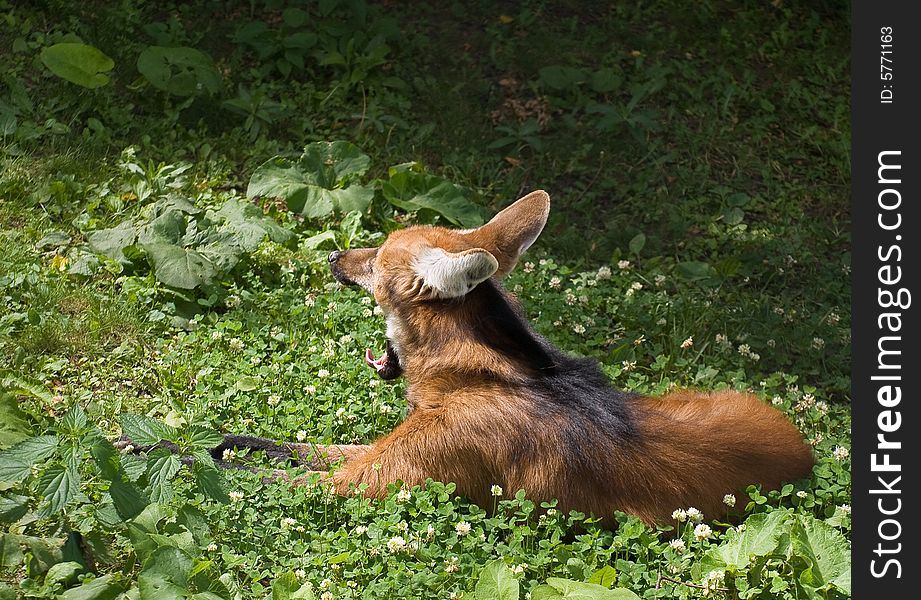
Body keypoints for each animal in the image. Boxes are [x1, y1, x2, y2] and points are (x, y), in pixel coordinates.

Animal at [216, 192, 812, 524]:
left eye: (377, 256)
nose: (336, 257)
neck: (472, 377)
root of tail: (804, 449)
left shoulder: (375, 481)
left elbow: (258, 475)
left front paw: (194, 456)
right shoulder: (384, 456)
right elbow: (296, 449)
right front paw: (230, 439)